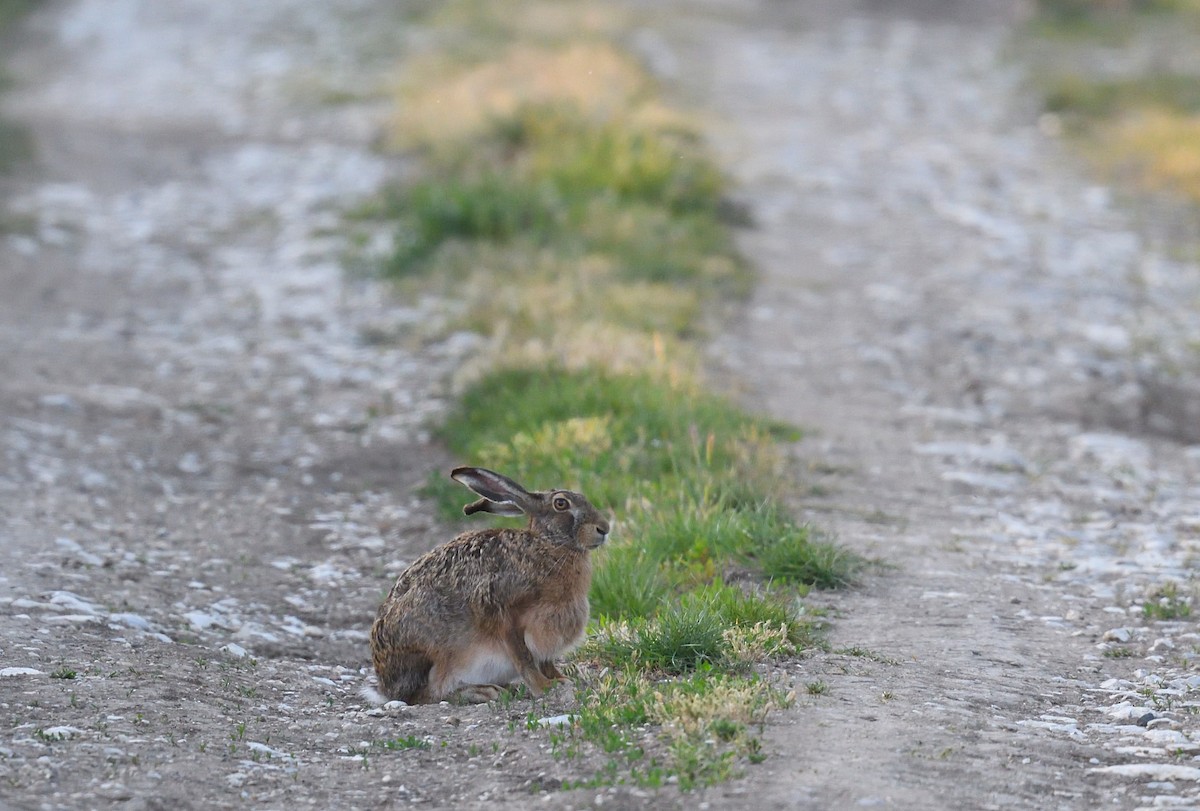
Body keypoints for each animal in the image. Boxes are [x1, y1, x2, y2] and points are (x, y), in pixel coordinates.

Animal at [365, 466, 610, 705]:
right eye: (561, 504)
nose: (604, 528)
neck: (548, 544)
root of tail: (386, 687)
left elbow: (545, 662)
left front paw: (561, 680)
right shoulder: (502, 611)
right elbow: (524, 658)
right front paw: (545, 687)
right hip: (431, 651)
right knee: (424, 694)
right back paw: (481, 692)